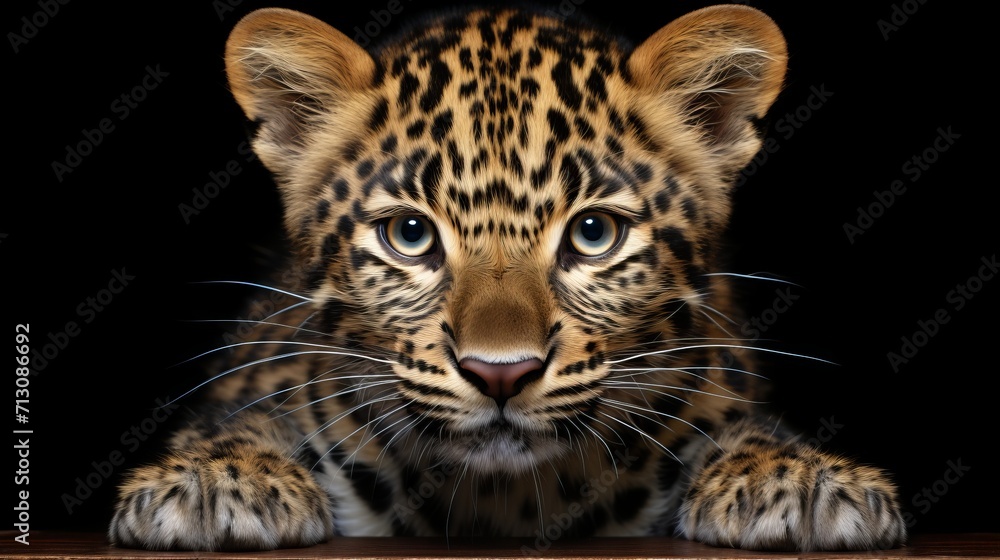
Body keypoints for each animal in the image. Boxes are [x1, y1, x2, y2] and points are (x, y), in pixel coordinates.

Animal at [109, 4, 907, 551]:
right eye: (410, 235)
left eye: (593, 234)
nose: (501, 374)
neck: (505, 501)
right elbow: (243, 417)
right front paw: (217, 478)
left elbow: (739, 424)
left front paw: (796, 476)